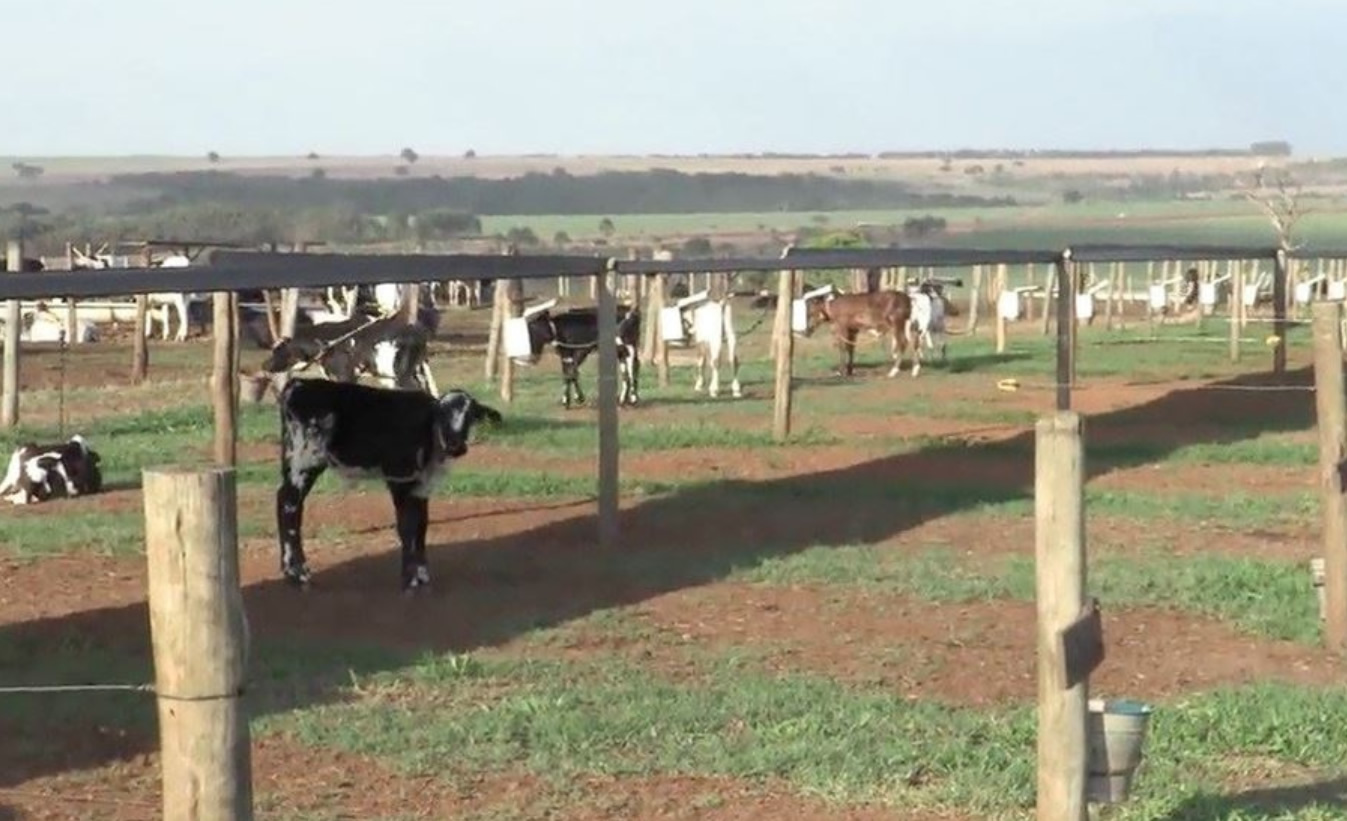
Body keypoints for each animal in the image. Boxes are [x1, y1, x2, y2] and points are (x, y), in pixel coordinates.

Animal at [276, 374, 503, 592]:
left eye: (471, 415)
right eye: (441, 415)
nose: (456, 446)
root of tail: (299, 383)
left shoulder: (421, 486)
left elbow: (421, 526)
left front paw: (422, 575)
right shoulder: (399, 479)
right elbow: (406, 527)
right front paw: (410, 579)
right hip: (305, 461)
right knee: (289, 504)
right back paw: (298, 572)